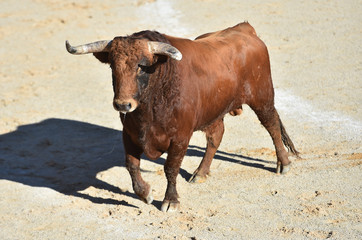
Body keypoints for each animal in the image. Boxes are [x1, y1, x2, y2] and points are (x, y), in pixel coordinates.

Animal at [66, 22, 298, 212]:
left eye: (142, 66)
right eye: (112, 66)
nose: (123, 104)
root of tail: (245, 29)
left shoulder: (180, 138)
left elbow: (171, 168)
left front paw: (170, 201)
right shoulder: (129, 134)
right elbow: (131, 165)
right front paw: (146, 194)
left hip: (262, 96)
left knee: (272, 125)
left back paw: (284, 163)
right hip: (215, 110)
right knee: (216, 136)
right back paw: (201, 172)